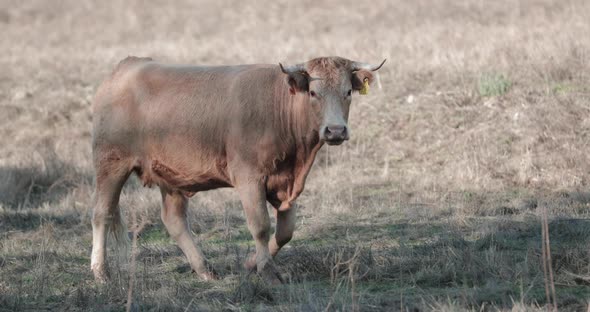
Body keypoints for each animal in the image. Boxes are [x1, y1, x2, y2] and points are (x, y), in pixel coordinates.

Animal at [91, 56, 388, 282]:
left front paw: (251, 263)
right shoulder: (249, 177)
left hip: (171, 177)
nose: (335, 130)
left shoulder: (287, 182)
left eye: (347, 92)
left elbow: (285, 231)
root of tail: (128, 66)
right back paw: (100, 272)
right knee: (102, 213)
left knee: (173, 220)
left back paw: (205, 270)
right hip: (111, 163)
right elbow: (260, 226)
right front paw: (267, 271)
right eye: (314, 93)